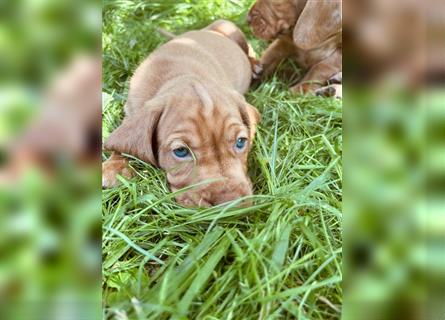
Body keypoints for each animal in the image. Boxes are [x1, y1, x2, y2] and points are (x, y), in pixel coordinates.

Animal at [101, 20, 260, 206]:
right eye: (181, 151)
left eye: (241, 142)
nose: (230, 204)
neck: (180, 76)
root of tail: (204, 29)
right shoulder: (131, 111)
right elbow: (123, 142)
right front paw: (113, 167)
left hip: (227, 25)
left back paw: (256, 66)